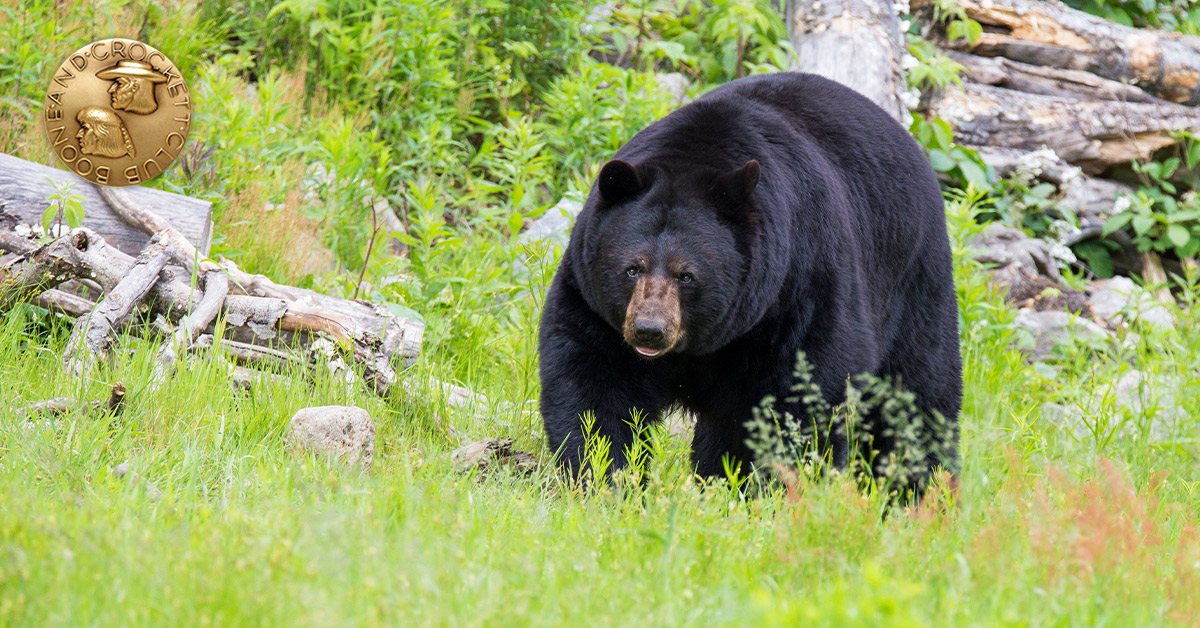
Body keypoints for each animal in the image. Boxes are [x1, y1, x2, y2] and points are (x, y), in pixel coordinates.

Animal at [538, 72, 961, 499]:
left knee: (917, 395)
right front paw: (604, 479)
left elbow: (803, 395)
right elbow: (595, 387)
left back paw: (920, 491)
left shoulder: (799, 288)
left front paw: (773, 488)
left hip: (913, 281)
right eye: (632, 269)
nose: (650, 330)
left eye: (686, 275)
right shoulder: (594, 302)